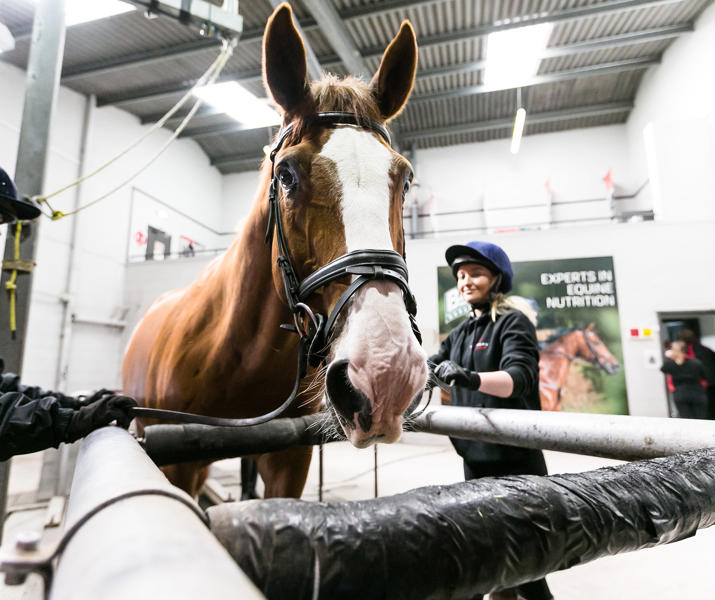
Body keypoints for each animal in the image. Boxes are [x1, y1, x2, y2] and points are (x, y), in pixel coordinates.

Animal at [121, 3, 430, 496]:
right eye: (286, 175)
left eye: (405, 179)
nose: (388, 371)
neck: (236, 355)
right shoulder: (178, 465)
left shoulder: (289, 460)